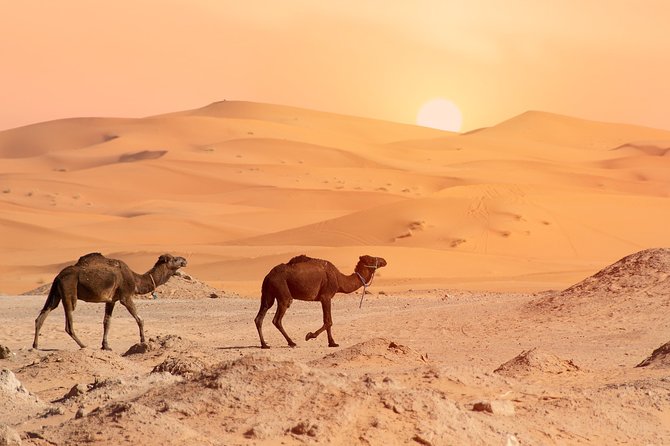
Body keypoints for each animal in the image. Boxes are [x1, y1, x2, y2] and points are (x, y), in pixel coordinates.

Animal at [32, 252, 187, 350]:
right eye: (174, 259)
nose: (185, 260)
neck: (136, 279)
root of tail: (58, 276)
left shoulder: (111, 300)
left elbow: (107, 322)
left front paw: (105, 346)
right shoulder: (125, 296)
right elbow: (140, 319)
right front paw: (143, 340)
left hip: (55, 294)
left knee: (42, 316)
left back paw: (35, 346)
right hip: (69, 291)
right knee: (68, 324)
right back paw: (83, 345)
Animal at [254, 254, 387, 348]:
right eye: (371, 259)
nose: (384, 260)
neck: (339, 279)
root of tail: (268, 276)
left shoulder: (325, 298)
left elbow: (328, 321)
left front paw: (332, 343)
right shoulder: (326, 296)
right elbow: (328, 321)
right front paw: (310, 336)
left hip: (268, 294)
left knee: (260, 316)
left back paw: (264, 345)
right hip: (282, 290)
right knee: (277, 319)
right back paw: (291, 342)